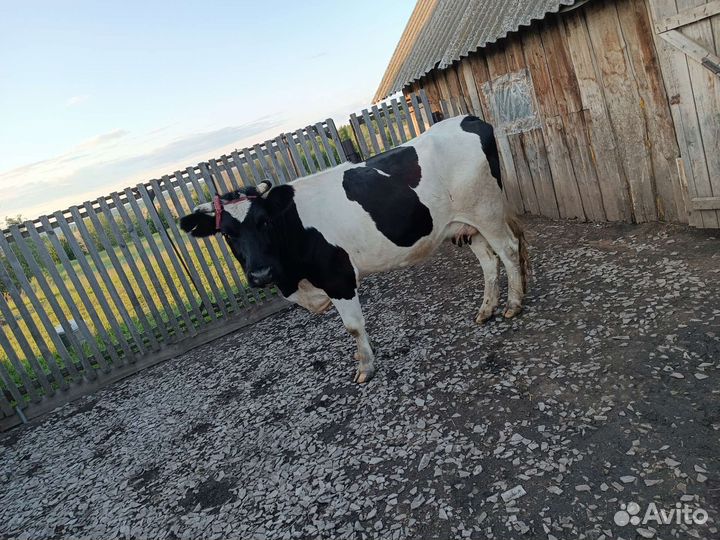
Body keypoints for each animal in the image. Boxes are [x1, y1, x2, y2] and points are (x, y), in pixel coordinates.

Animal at [179, 115, 529, 384]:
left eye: (264, 222)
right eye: (227, 234)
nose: (260, 272)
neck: (295, 281)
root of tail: (468, 118)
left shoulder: (338, 278)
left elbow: (352, 326)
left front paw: (365, 368)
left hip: (487, 209)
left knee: (508, 249)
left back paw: (513, 304)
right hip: (466, 224)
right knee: (488, 261)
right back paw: (486, 310)